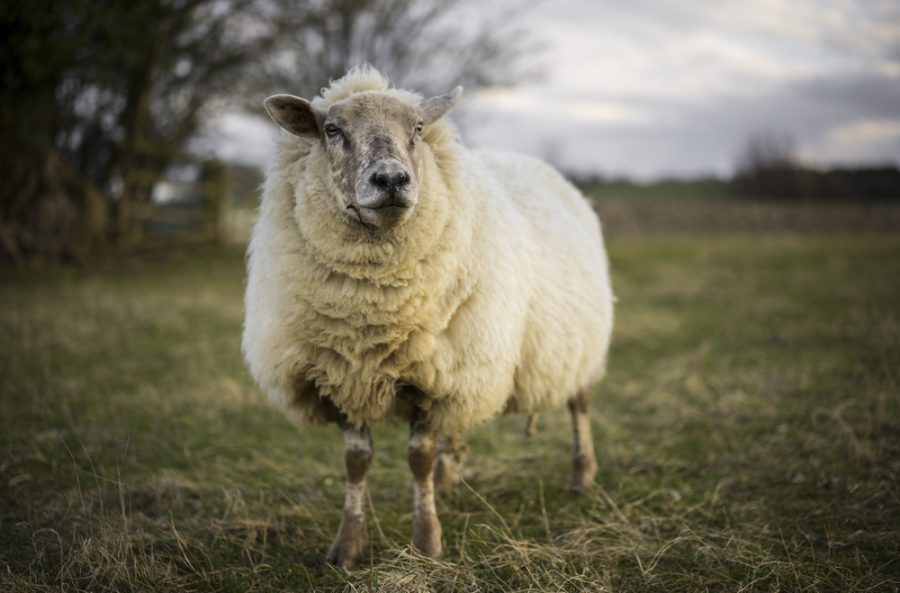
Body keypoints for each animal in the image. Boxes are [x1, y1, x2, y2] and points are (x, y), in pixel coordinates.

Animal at [243, 66, 616, 568]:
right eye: (332, 129)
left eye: (418, 128)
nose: (391, 179)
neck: (371, 313)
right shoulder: (345, 375)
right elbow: (356, 462)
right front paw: (347, 547)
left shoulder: (434, 378)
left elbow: (417, 457)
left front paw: (427, 543)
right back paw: (449, 476)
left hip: (573, 341)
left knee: (579, 404)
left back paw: (581, 474)